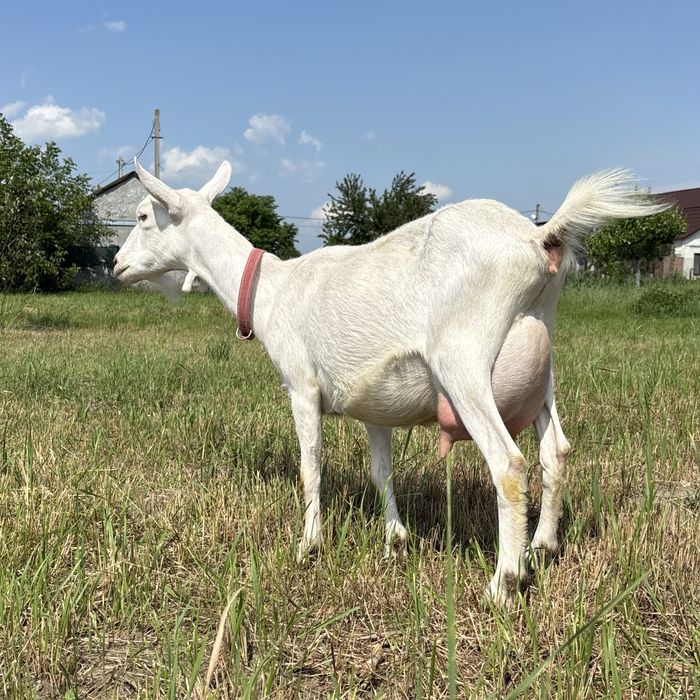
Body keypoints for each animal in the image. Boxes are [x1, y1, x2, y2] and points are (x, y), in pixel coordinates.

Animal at [114, 161, 664, 602]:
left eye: (142, 216)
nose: (116, 264)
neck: (272, 290)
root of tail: (537, 239)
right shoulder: (371, 406)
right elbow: (382, 472)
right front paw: (395, 542)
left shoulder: (301, 385)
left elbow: (310, 468)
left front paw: (308, 545)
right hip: (542, 359)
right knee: (557, 451)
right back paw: (543, 546)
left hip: (463, 361)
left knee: (509, 465)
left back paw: (503, 584)